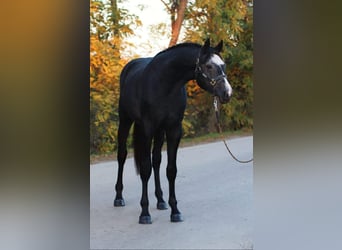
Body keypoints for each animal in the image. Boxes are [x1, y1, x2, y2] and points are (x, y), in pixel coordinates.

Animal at [113, 39, 231, 225]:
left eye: (223, 65)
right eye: (209, 66)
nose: (227, 93)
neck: (164, 84)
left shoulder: (174, 130)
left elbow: (170, 170)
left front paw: (175, 210)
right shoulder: (147, 129)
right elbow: (145, 169)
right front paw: (144, 213)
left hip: (159, 131)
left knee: (156, 161)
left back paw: (161, 200)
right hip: (125, 121)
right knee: (122, 156)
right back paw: (118, 197)